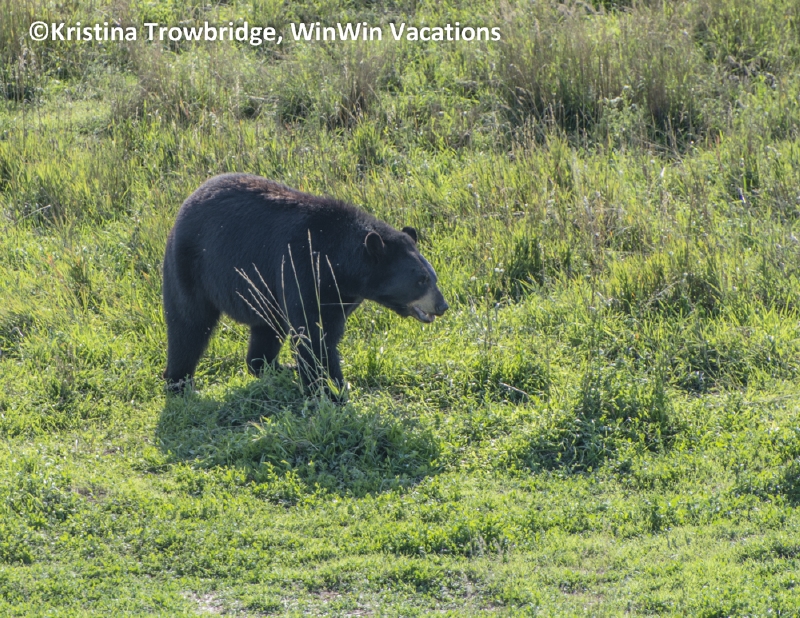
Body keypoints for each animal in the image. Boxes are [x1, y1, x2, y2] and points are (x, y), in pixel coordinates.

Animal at [162, 173, 449, 397]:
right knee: (188, 324)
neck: (338, 262)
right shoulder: (302, 267)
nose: (442, 305)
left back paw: (270, 366)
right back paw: (179, 383)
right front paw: (329, 390)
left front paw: (329, 383)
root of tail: (187, 201)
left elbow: (326, 329)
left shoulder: (340, 292)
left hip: (264, 291)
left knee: (267, 326)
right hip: (190, 265)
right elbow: (314, 333)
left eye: (433, 276)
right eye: (421, 280)